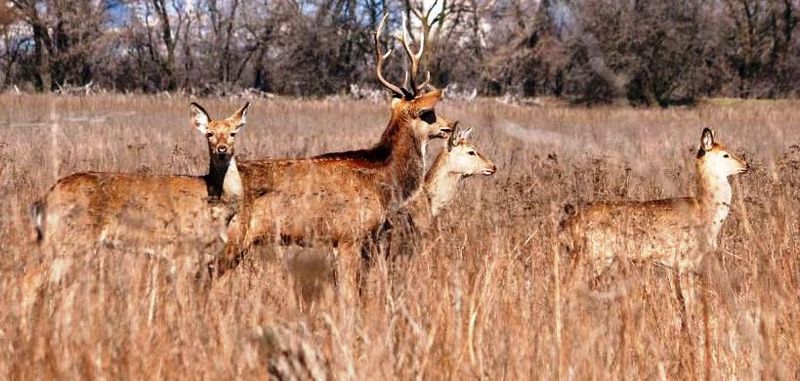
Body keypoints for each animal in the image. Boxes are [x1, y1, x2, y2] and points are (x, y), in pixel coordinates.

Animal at [30, 102, 250, 254]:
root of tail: (45, 199)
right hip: (70, 238)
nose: (222, 150)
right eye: (209, 134)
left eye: (233, 133)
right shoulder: (184, 246)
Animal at [219, 14, 456, 290]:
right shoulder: (349, 235)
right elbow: (349, 289)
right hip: (232, 238)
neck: (383, 182)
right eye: (428, 113)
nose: (449, 126)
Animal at [560, 127, 748, 274]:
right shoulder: (684, 260)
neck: (705, 210)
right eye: (725, 155)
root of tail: (565, 225)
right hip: (590, 254)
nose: (746, 165)